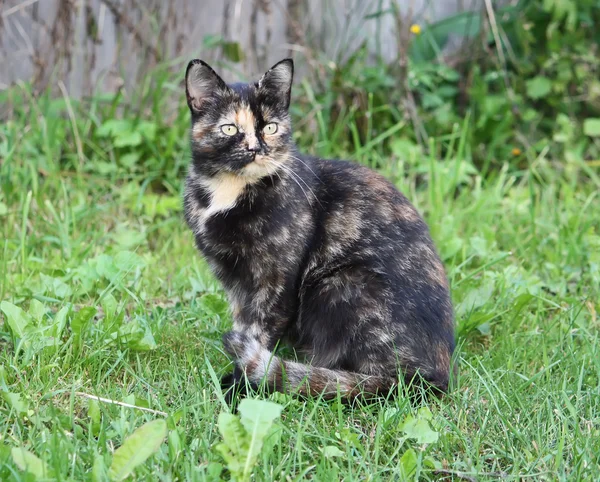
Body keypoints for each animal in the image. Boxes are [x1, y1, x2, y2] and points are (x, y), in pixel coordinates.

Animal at [183, 58, 454, 402]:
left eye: (270, 127)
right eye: (229, 128)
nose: (257, 148)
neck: (227, 192)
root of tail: (434, 376)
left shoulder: (274, 281)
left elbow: (258, 332)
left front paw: (237, 387)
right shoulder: (233, 281)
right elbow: (243, 326)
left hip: (340, 284)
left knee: (374, 380)